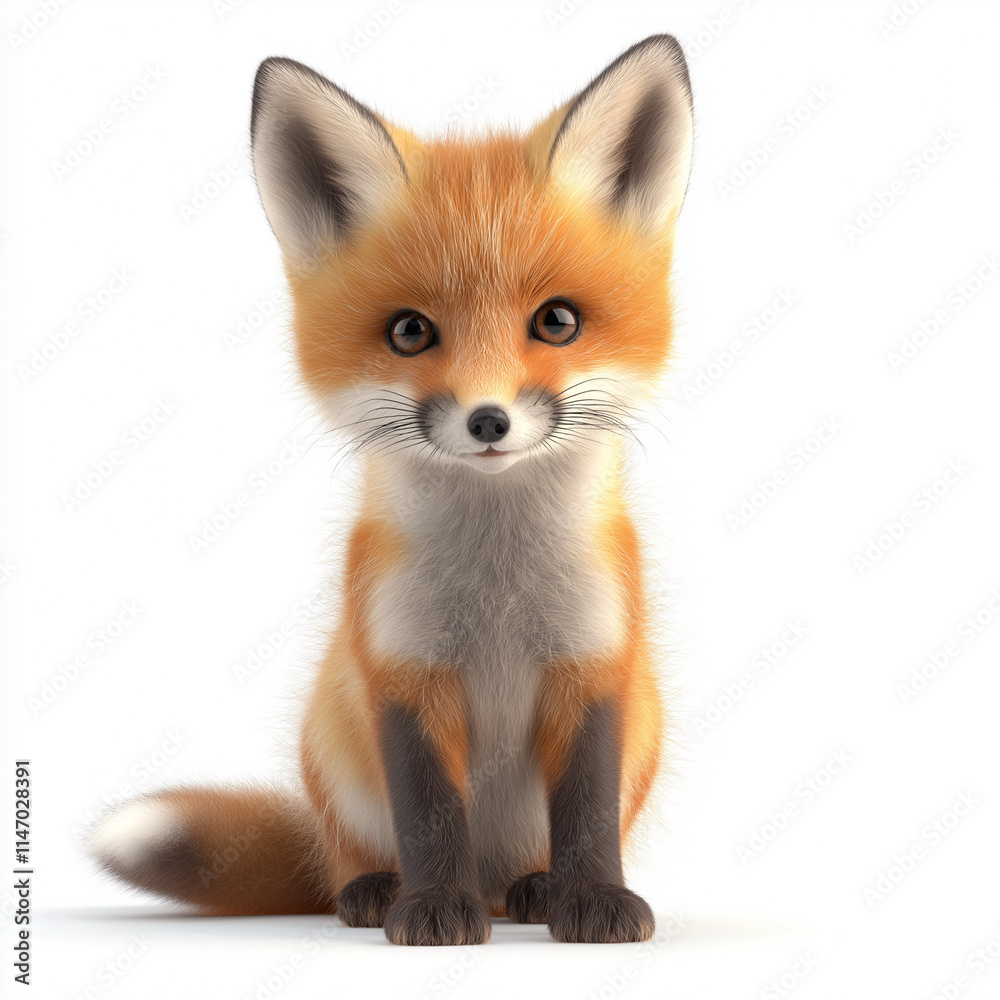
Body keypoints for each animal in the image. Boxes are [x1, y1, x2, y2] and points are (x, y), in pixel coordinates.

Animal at [87, 34, 694, 946]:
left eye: (557, 321)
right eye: (410, 332)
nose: (487, 420)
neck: (498, 590)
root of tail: (495, 877)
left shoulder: (593, 662)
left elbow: (587, 809)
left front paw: (593, 899)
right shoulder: (402, 671)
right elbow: (428, 811)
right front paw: (431, 908)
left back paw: (538, 889)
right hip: (331, 752)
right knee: (346, 857)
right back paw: (375, 890)